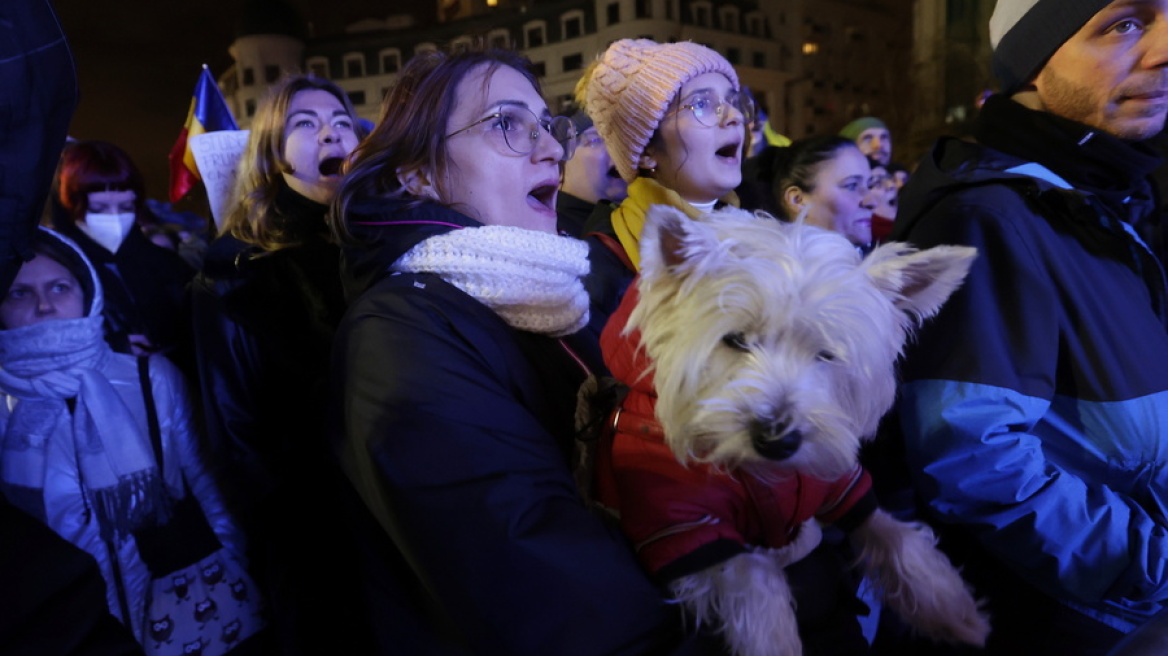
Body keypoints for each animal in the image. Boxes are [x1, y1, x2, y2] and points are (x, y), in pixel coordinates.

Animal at [598, 204, 990, 653]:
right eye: (735, 339)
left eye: (828, 354)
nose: (777, 441)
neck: (766, 477)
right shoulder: (685, 527)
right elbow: (758, 593)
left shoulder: (843, 485)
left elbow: (898, 538)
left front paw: (957, 613)